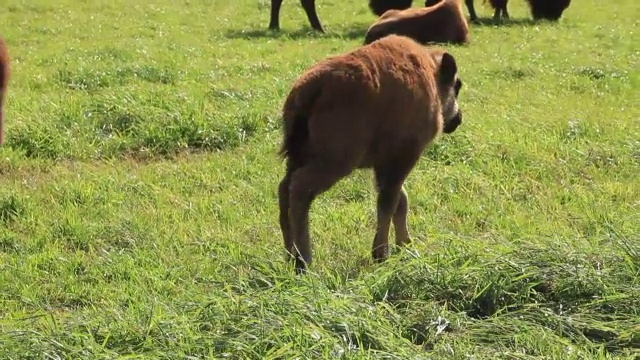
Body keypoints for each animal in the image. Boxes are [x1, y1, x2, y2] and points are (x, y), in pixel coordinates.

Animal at [278, 34, 462, 272]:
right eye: (456, 85)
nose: (458, 119)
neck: (431, 74)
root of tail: (308, 88)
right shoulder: (400, 160)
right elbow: (388, 203)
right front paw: (382, 253)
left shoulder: (383, 166)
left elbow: (400, 201)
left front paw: (406, 246)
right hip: (335, 162)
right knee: (300, 189)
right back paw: (303, 261)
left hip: (298, 158)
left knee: (284, 189)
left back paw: (289, 256)